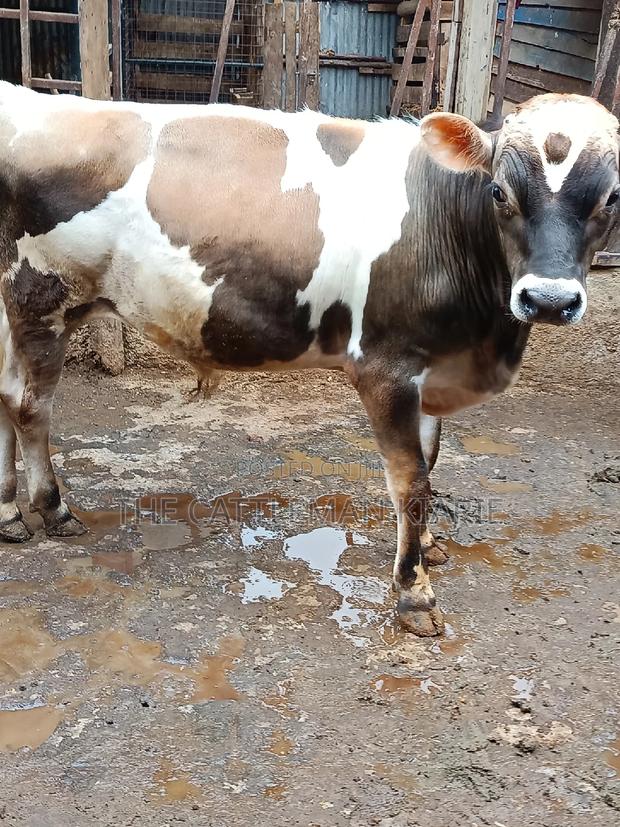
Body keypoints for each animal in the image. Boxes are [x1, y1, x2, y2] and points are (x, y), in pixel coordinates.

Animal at [0, 83, 618, 636]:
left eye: (612, 198)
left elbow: (432, 458)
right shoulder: (386, 368)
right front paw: (414, 593)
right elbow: (410, 481)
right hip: (40, 296)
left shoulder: (430, 365)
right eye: (499, 192)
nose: (550, 300)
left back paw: (9, 516)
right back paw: (52, 510)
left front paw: (429, 547)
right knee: (31, 409)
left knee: (5, 399)